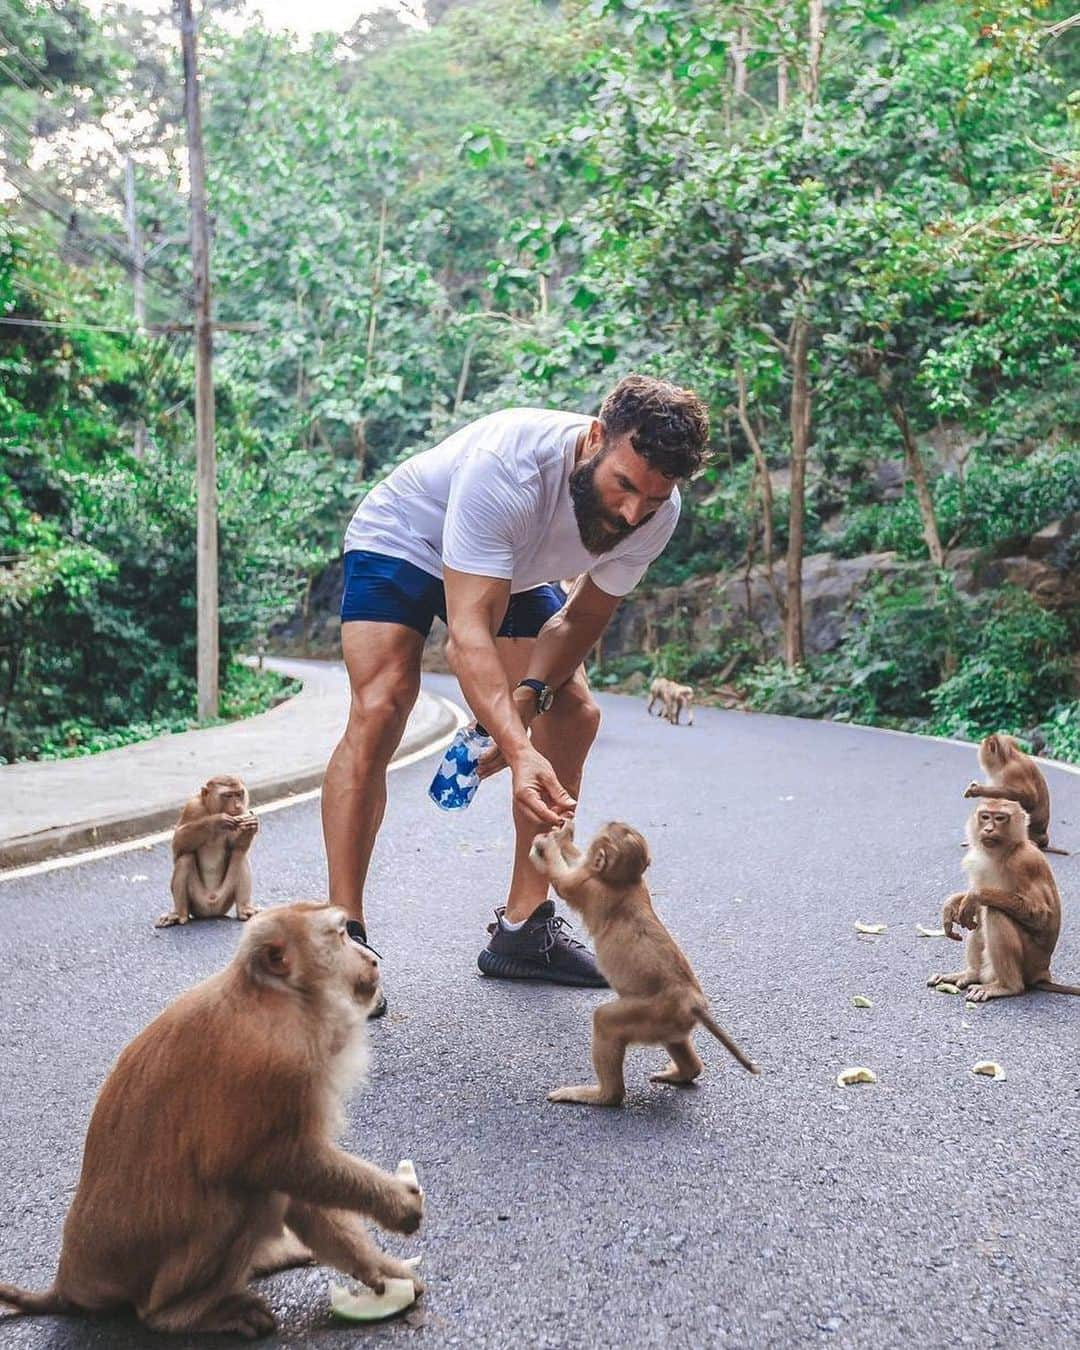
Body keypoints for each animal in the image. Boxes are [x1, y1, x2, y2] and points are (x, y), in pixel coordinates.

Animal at [0, 901, 421, 1333]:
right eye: (339, 936)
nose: (370, 959)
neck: (276, 997)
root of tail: (68, 1283)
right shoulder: (279, 1063)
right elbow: (272, 1162)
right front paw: (396, 1204)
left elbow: (298, 1186)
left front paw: (379, 1270)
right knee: (240, 1195)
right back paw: (189, 1313)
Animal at [157, 772, 260, 928]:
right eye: (228, 795)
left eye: (239, 794)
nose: (237, 805)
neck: (210, 809)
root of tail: (211, 912)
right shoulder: (192, 807)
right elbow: (177, 846)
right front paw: (217, 821)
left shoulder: (243, 810)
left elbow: (237, 846)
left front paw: (251, 825)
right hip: (197, 904)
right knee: (185, 859)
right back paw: (179, 914)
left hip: (225, 900)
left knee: (239, 855)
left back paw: (244, 909)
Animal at [928, 799, 1080, 1004]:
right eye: (985, 816)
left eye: (1000, 818)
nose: (989, 829)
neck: (1004, 852)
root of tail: (1042, 972)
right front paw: (952, 902)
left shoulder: (1022, 863)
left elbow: (1040, 915)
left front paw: (976, 894)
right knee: (979, 915)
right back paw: (971, 974)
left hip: (1030, 961)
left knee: (995, 912)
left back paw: (1007, 986)